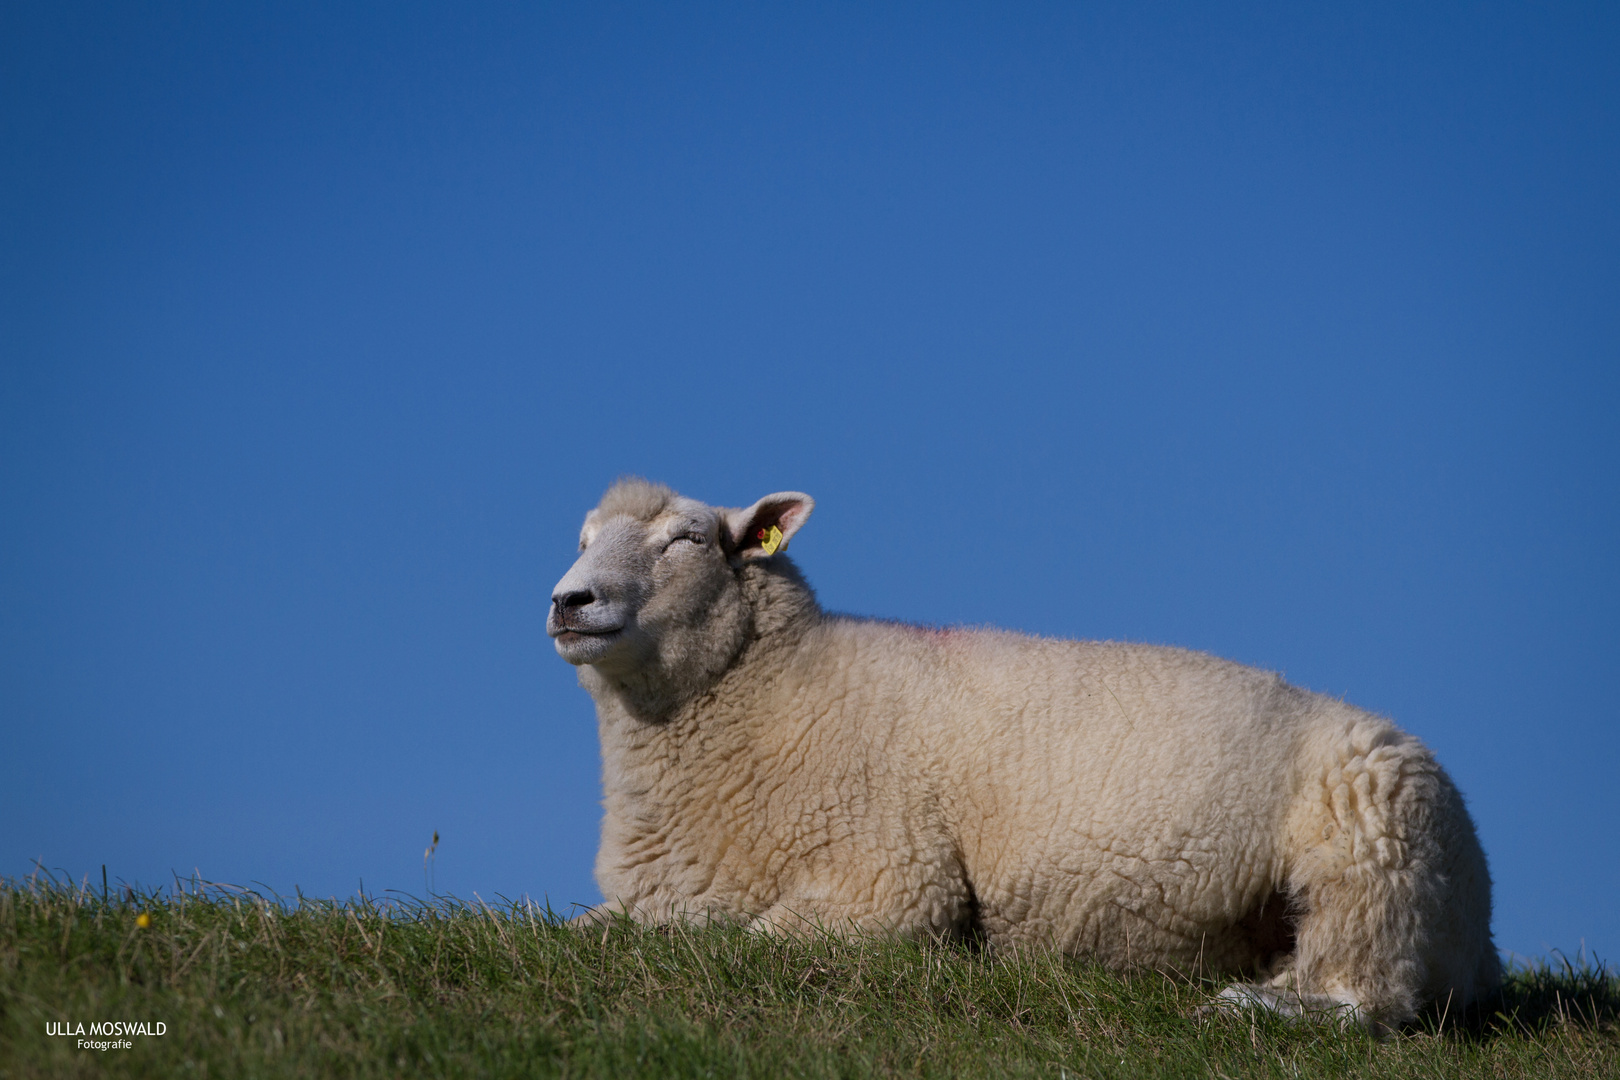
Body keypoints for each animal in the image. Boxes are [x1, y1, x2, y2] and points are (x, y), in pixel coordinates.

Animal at [544, 479, 1490, 1029]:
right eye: (583, 537)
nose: (567, 600)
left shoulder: (891, 880)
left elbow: (743, 940)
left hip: (1373, 853)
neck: (776, 688)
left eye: (687, 539)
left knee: (1369, 1000)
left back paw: (1249, 1009)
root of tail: (1477, 935)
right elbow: (580, 933)